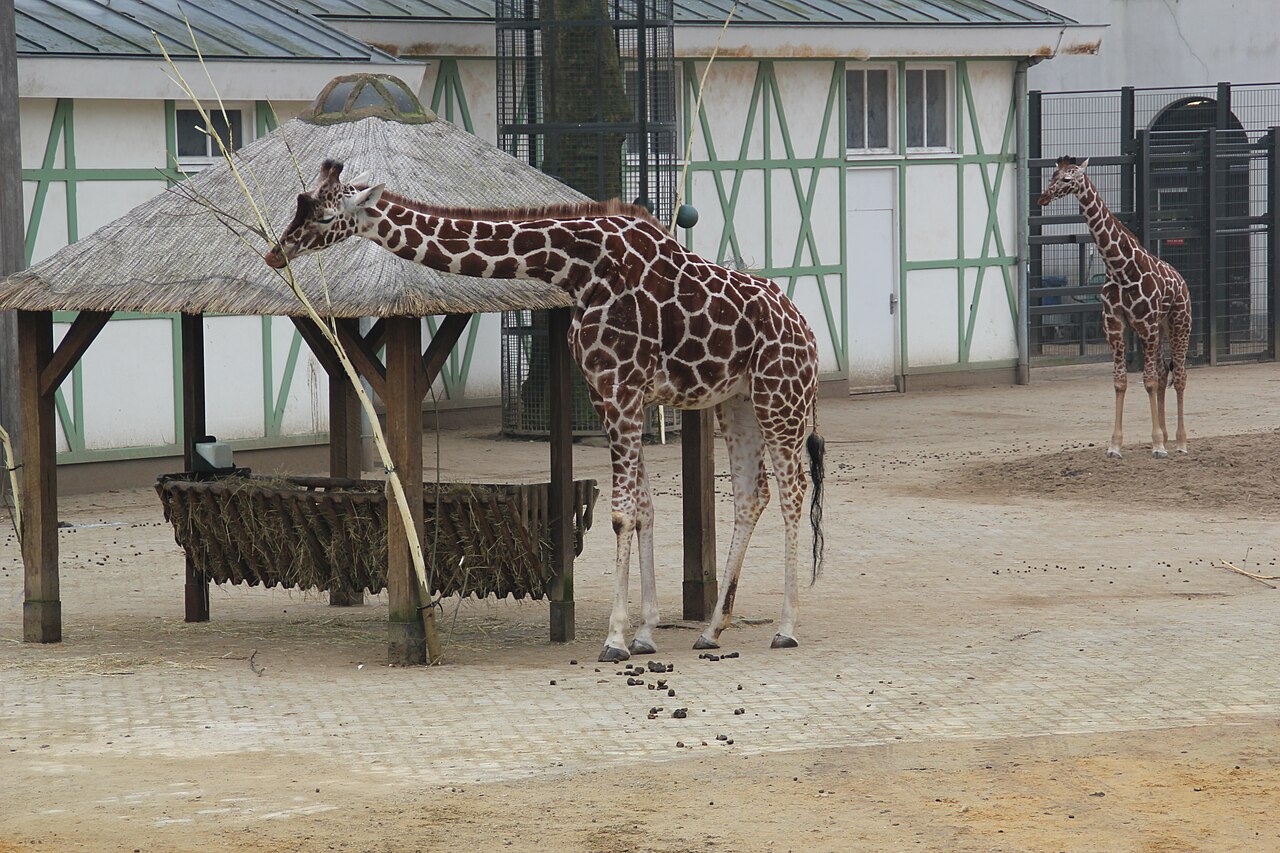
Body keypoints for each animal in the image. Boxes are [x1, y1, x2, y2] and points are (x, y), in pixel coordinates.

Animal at [265, 160, 826, 662]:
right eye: (298, 203)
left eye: (322, 216)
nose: (275, 254)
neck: (577, 268)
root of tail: (807, 330)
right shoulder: (609, 393)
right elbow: (644, 508)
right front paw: (646, 634)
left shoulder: (621, 388)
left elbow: (622, 514)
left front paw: (615, 640)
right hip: (737, 402)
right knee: (752, 496)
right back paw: (711, 630)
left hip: (781, 397)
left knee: (794, 491)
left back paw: (786, 628)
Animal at [1038, 156, 1191, 459]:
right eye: (1052, 175)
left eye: (1068, 179)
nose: (1043, 197)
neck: (1120, 269)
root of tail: (1181, 281)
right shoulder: (1115, 324)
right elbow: (1121, 381)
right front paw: (1115, 445)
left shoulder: (1145, 324)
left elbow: (1148, 381)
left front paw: (1157, 446)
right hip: (1160, 329)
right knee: (1163, 371)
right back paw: (1167, 435)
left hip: (1179, 323)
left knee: (1178, 376)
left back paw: (1179, 442)